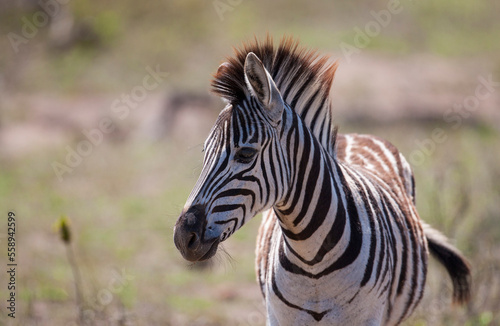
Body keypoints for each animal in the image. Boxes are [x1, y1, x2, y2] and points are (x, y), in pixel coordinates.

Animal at [174, 37, 470, 324]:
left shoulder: (369, 317)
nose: (182, 237)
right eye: (205, 153)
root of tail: (353, 135)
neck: (311, 260)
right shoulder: (278, 317)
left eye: (246, 154)